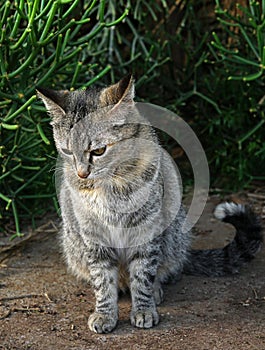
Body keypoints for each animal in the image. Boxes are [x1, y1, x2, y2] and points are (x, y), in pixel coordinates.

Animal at [37, 74, 262, 334]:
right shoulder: (94, 236)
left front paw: (143, 309)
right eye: (66, 151)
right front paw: (105, 313)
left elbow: (143, 274)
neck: (110, 186)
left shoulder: (147, 231)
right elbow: (103, 280)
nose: (82, 173)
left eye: (99, 150)